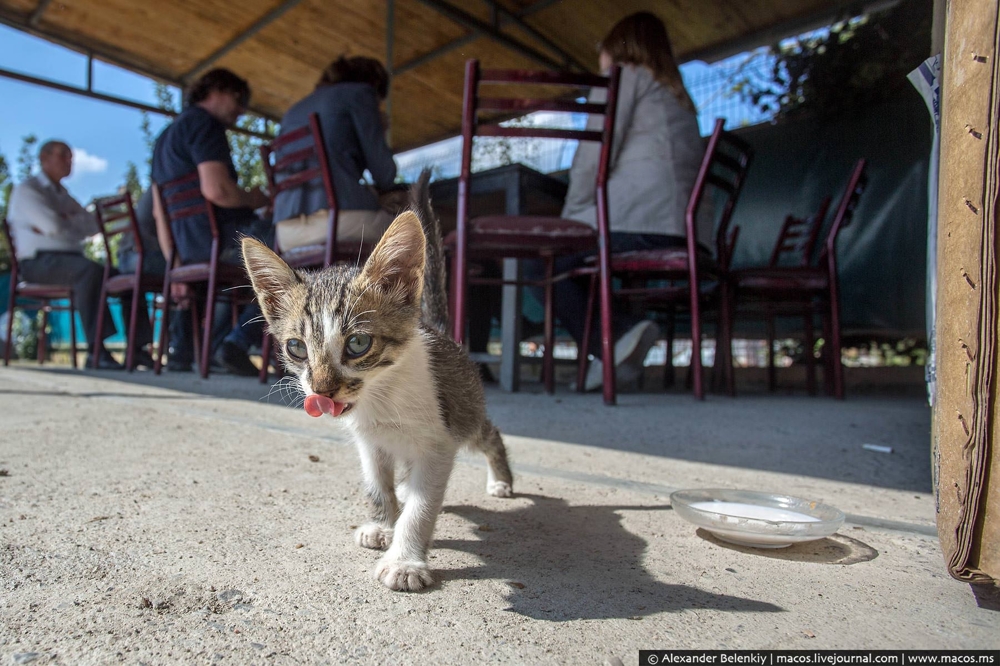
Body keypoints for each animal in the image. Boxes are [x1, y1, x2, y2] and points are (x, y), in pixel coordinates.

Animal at [239, 172, 512, 592]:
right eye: (296, 347)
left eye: (357, 344)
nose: (321, 390)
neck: (381, 396)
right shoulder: (369, 443)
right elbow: (376, 485)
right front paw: (384, 523)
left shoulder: (439, 444)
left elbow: (422, 506)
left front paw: (404, 561)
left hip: (465, 413)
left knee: (489, 435)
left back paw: (500, 481)